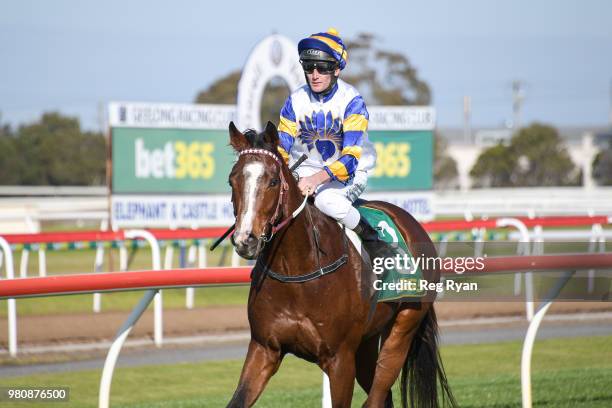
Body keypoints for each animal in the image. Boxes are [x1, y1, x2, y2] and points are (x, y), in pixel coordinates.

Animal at [225, 122, 454, 408]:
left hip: (403, 328)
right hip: (367, 342)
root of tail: (412, 223)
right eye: (232, 180)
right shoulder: (264, 348)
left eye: (273, 181)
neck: (298, 274)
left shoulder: (340, 359)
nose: (246, 240)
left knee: (378, 393)